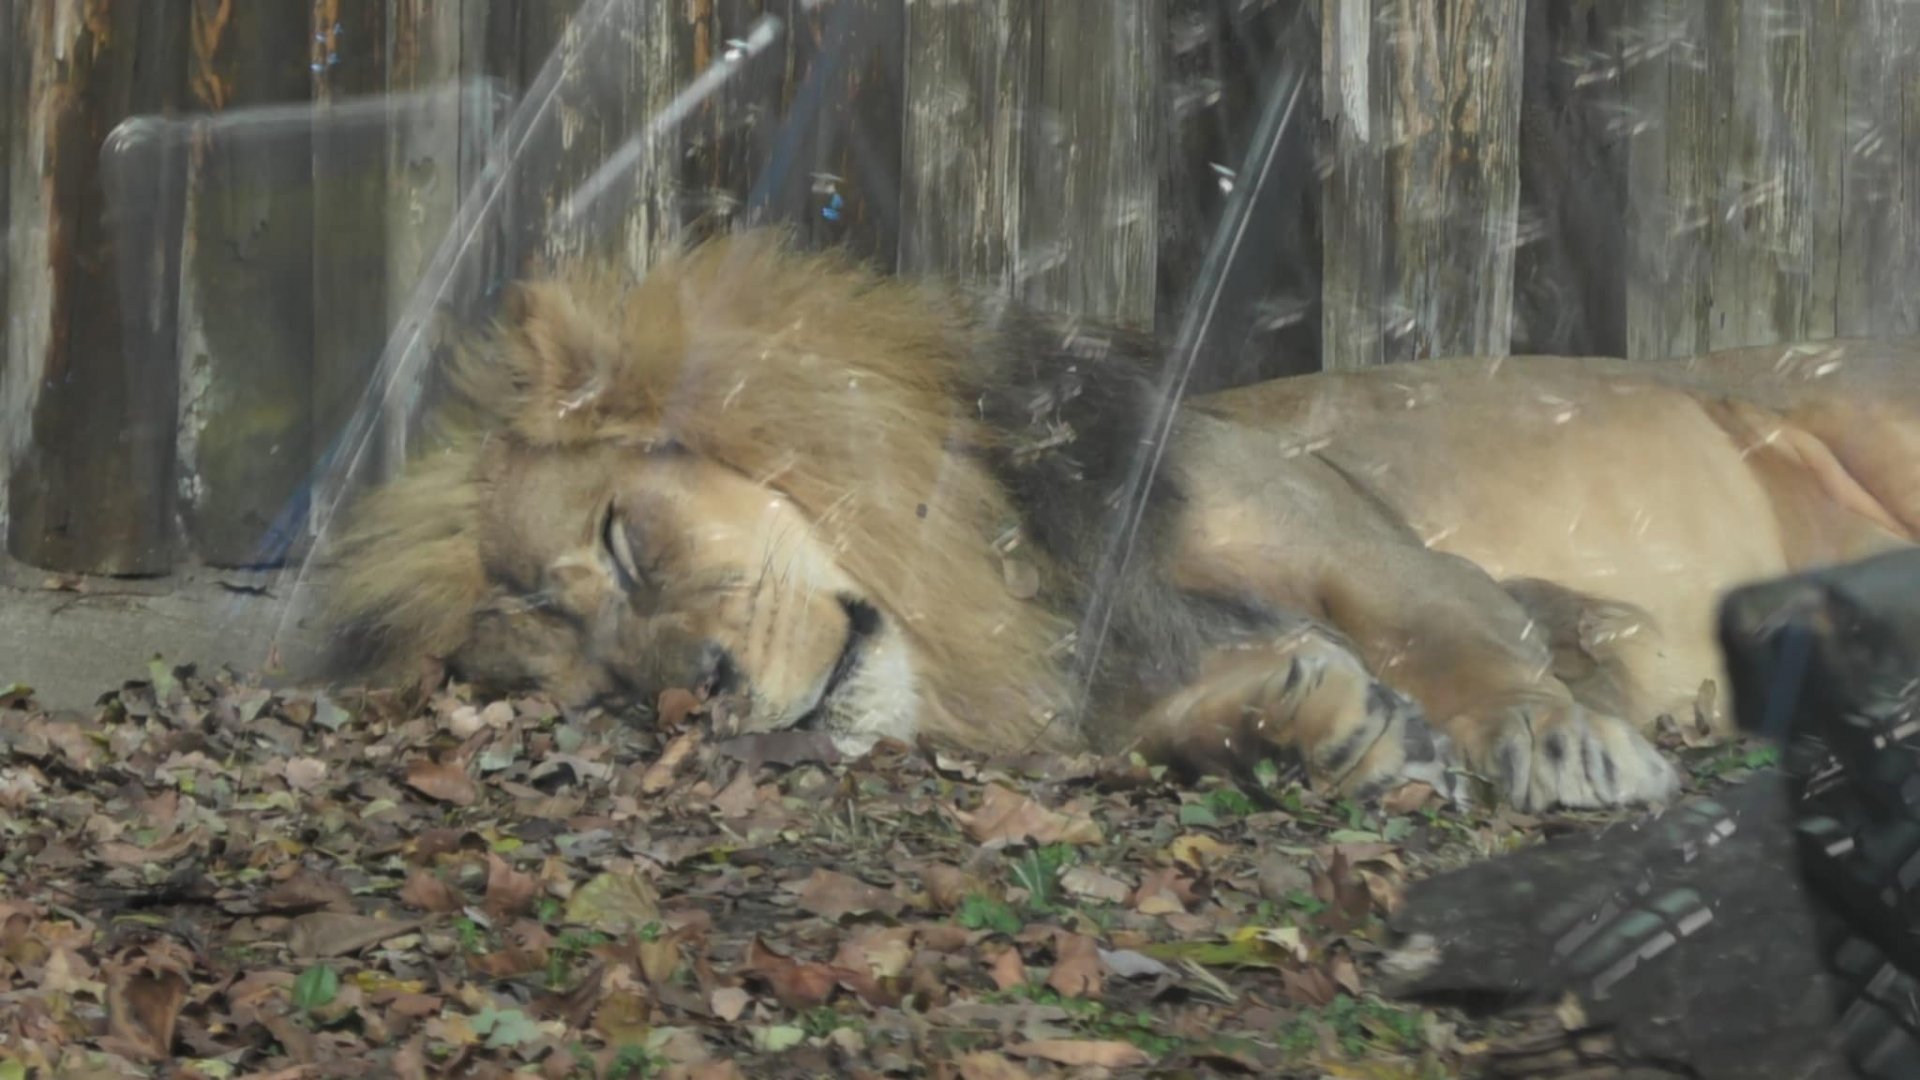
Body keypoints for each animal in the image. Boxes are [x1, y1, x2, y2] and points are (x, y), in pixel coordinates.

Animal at [321, 228, 1920, 813]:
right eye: (599, 694)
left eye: (624, 540)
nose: (702, 695)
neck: (1003, 586)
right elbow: (1188, 719)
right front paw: (1300, 727)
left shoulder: (1342, 525)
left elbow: (1467, 635)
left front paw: (1563, 739)